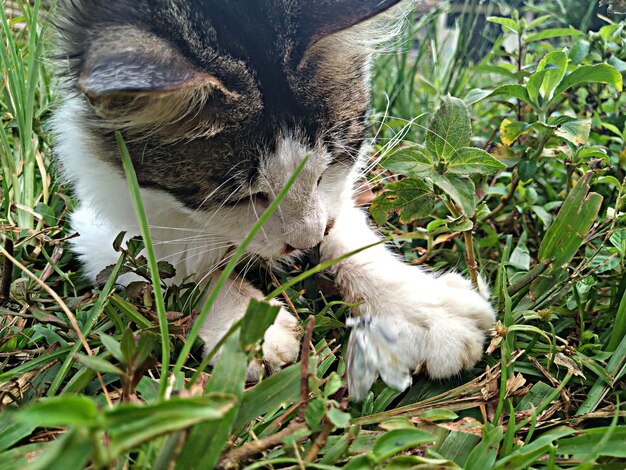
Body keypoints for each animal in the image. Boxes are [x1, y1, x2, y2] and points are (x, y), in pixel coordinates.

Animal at [51, 0, 494, 396]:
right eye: (241, 198)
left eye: (329, 165)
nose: (306, 242)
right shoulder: (98, 220)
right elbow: (184, 262)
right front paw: (246, 327)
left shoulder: (336, 200)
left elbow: (345, 232)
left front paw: (422, 310)